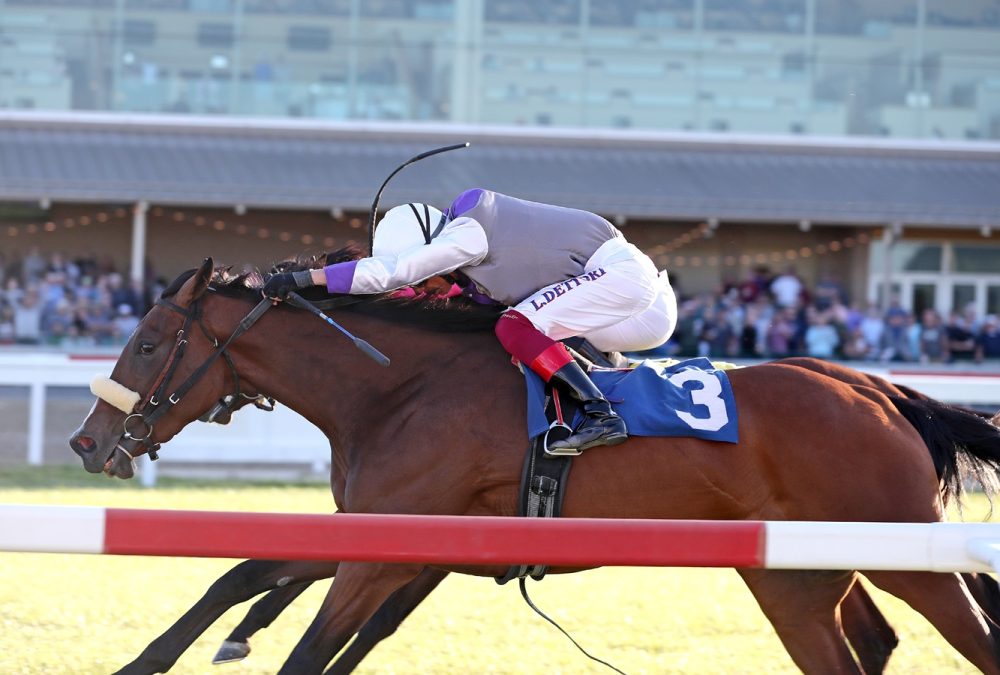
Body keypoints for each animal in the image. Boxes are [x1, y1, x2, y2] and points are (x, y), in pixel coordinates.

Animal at [72, 256, 1000, 672]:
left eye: (147, 341)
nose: (86, 440)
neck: (402, 386)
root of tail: (880, 391)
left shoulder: (388, 544)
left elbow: (305, 637)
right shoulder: (394, 537)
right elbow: (244, 575)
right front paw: (159, 656)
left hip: (903, 553)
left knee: (973, 633)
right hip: (797, 573)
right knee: (867, 642)